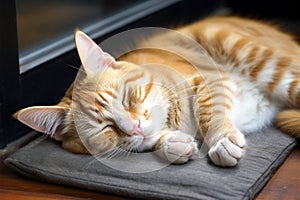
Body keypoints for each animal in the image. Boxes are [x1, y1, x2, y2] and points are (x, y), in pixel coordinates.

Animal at [14, 16, 300, 167]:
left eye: (127, 99)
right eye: (104, 127)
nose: (134, 127)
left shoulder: (210, 81)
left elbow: (211, 113)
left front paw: (221, 139)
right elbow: (157, 142)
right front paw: (172, 144)